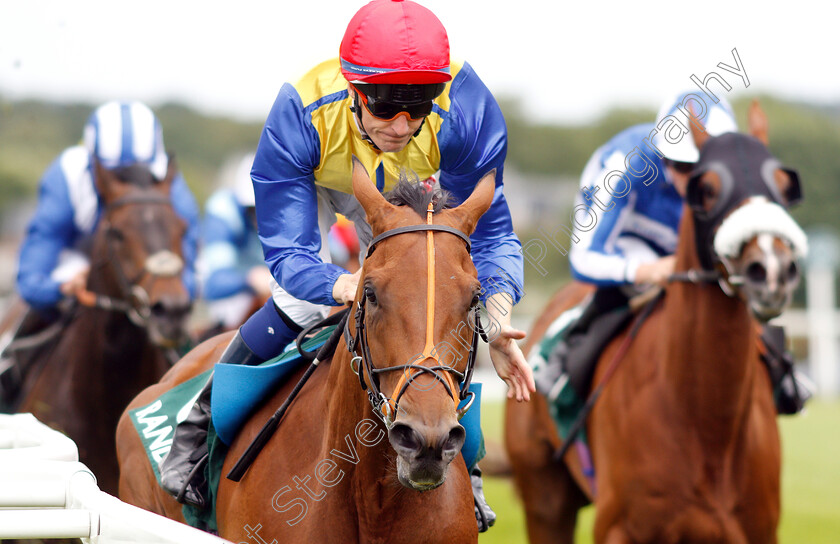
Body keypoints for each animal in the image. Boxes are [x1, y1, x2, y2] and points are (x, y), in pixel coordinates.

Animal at [506, 103, 808, 544]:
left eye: (785, 187)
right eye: (707, 189)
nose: (770, 269)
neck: (706, 427)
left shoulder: (758, 530)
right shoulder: (619, 529)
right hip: (544, 497)